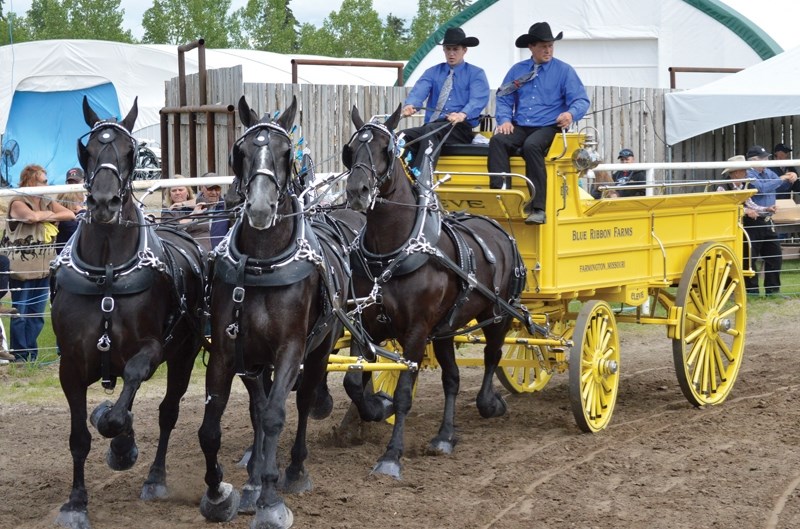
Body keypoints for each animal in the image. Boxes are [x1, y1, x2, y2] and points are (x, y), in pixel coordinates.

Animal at [50, 97, 206, 524]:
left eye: (130, 151)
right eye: (86, 151)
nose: (104, 203)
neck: (107, 274)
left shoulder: (151, 349)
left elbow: (126, 399)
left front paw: (121, 444)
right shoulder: (71, 364)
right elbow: (79, 436)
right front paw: (76, 501)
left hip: (184, 355)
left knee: (167, 412)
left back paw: (153, 476)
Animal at [196, 96, 350, 528]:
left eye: (285, 153)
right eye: (240, 152)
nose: (261, 208)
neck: (262, 264)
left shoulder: (290, 350)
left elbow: (274, 416)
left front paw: (269, 499)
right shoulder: (228, 351)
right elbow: (213, 426)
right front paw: (222, 493)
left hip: (319, 350)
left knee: (302, 401)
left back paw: (294, 470)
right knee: (258, 404)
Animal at [340, 105, 528, 476]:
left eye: (385, 148)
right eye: (350, 150)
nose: (357, 190)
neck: (392, 252)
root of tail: (499, 228)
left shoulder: (416, 331)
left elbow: (404, 394)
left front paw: (391, 455)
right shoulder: (365, 323)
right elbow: (355, 382)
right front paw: (375, 408)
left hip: (498, 315)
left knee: (492, 356)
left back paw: (489, 403)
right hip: (444, 330)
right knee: (452, 379)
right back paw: (444, 436)